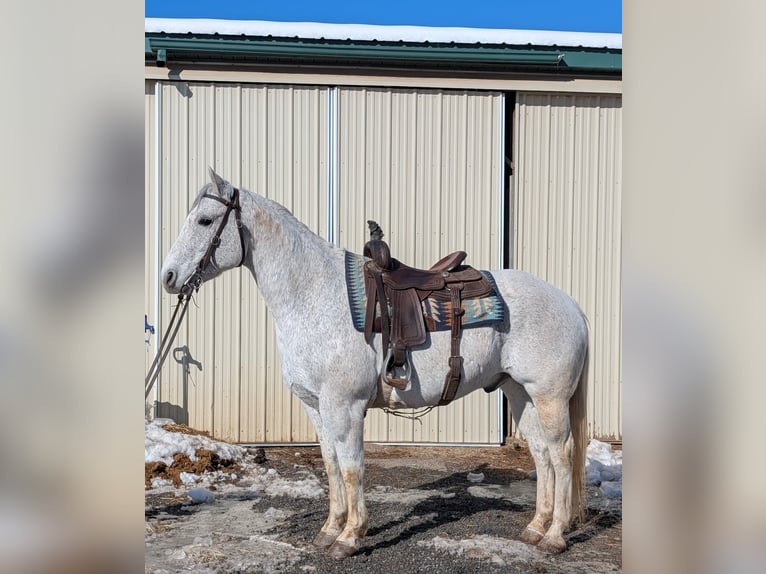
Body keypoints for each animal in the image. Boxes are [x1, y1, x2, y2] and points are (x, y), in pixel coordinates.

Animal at [160, 168, 590, 558]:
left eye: (205, 220)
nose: (168, 276)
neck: (313, 294)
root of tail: (570, 304)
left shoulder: (345, 405)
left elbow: (352, 468)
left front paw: (350, 537)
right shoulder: (316, 405)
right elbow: (331, 465)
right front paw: (329, 530)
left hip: (549, 397)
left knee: (562, 453)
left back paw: (555, 536)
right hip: (519, 393)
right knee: (542, 454)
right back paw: (535, 528)